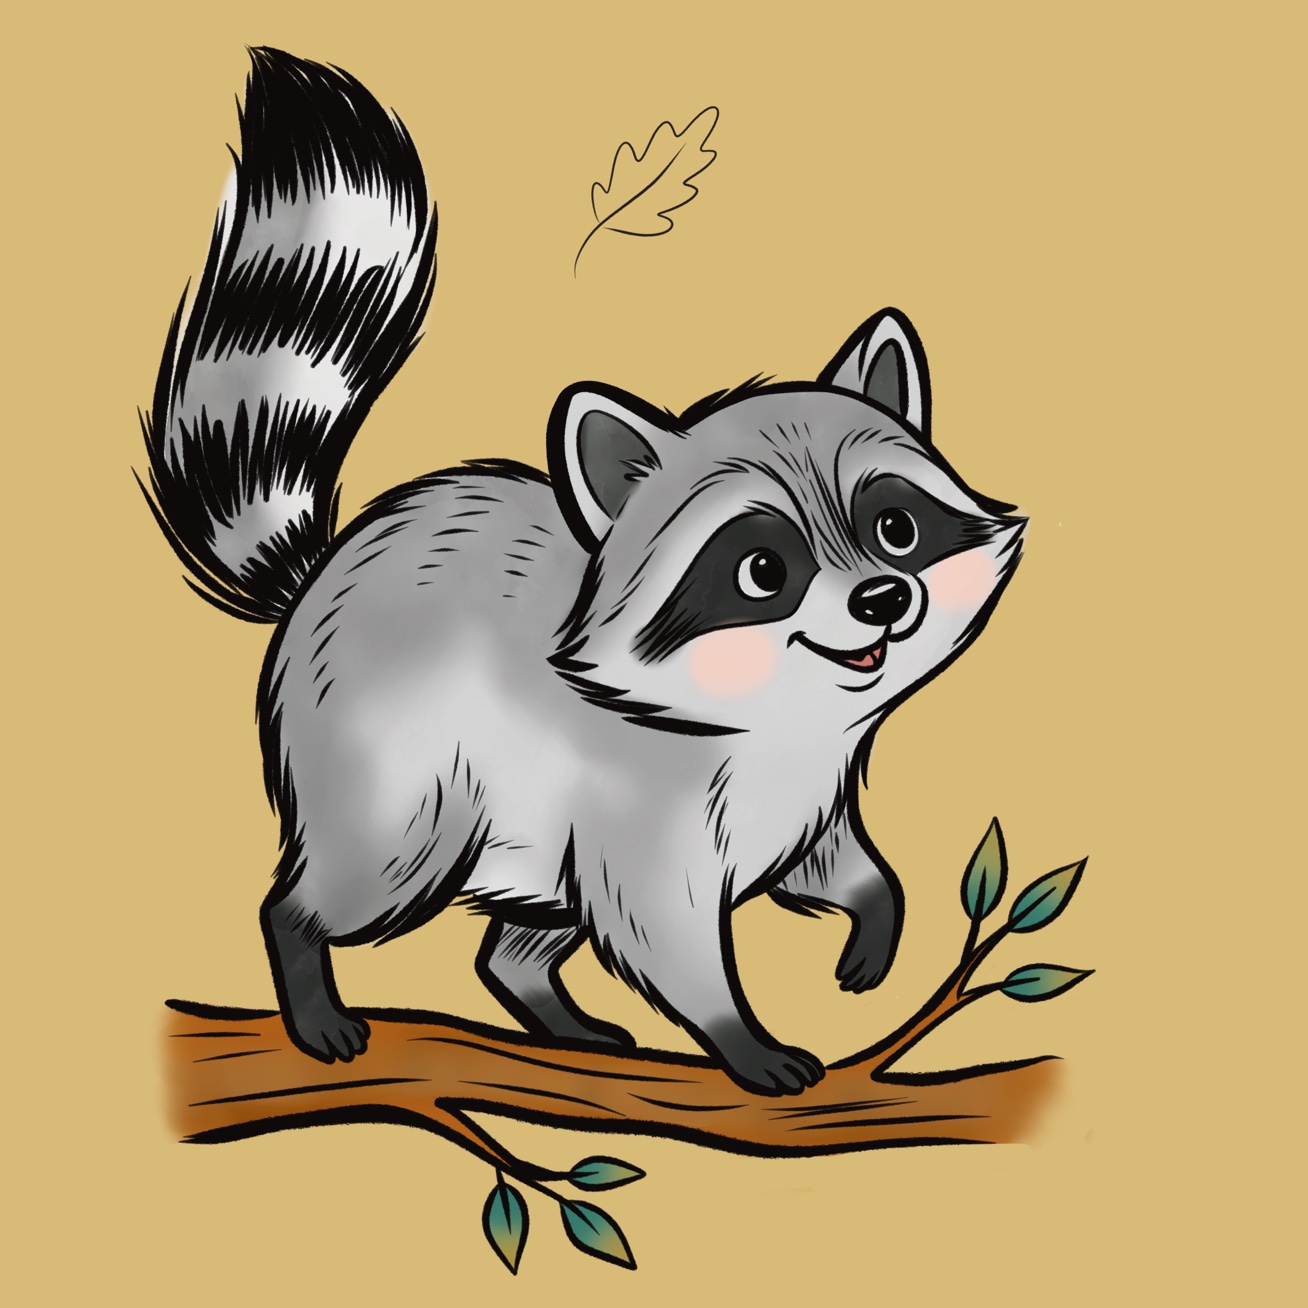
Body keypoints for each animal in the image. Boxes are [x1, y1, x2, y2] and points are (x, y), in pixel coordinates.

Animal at [141, 48, 1025, 1095]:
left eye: (894, 528)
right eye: (763, 569)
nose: (883, 599)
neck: (778, 714)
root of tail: (331, 570)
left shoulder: (797, 793)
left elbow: (838, 865)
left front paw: (874, 913)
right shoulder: (640, 806)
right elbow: (665, 935)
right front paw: (739, 1035)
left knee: (519, 937)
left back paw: (547, 1009)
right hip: (401, 771)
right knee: (360, 877)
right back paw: (308, 961)